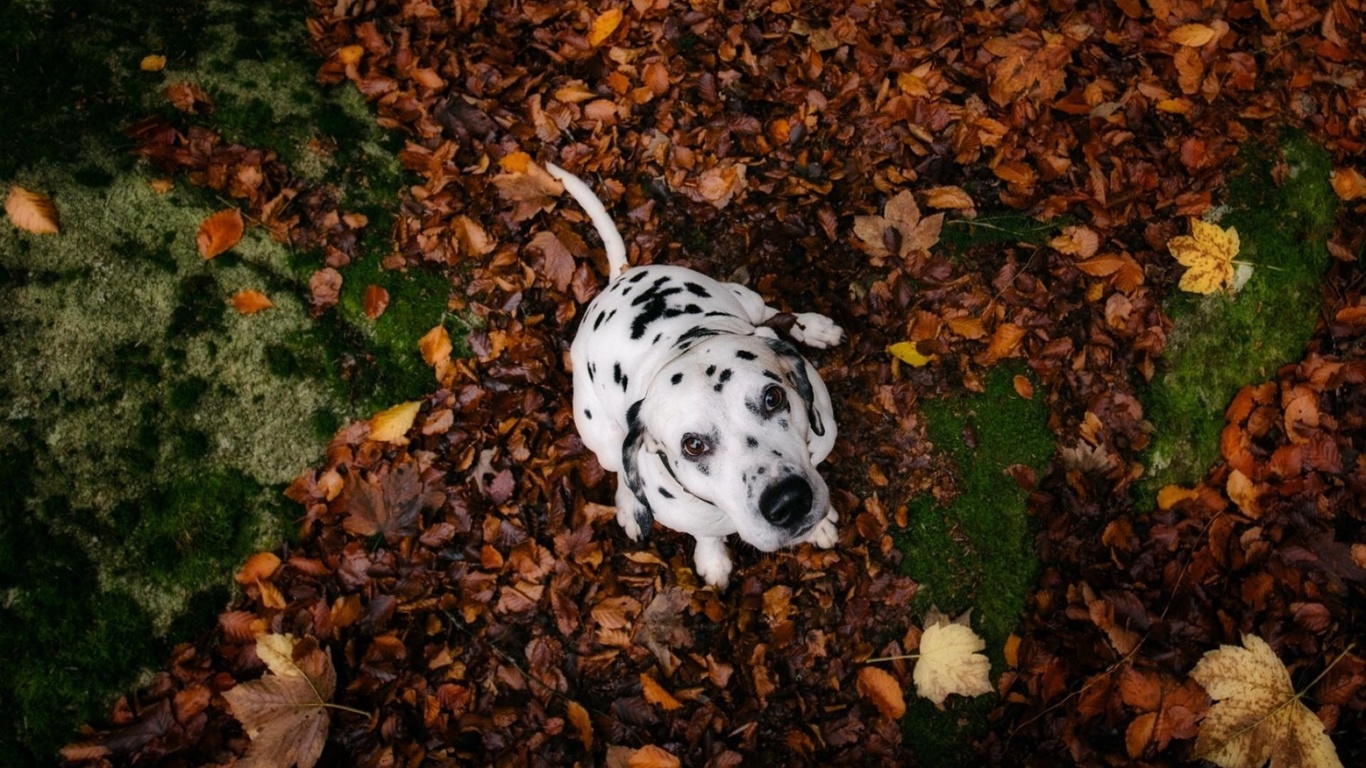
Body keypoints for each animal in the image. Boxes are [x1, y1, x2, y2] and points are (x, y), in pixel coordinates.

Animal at [546, 161, 841, 584]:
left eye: (773, 397)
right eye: (693, 445)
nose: (788, 500)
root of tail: (619, 277)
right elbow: (704, 534)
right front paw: (712, 558)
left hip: (743, 297)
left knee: (769, 311)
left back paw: (814, 327)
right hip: (600, 436)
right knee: (618, 465)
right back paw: (628, 506)